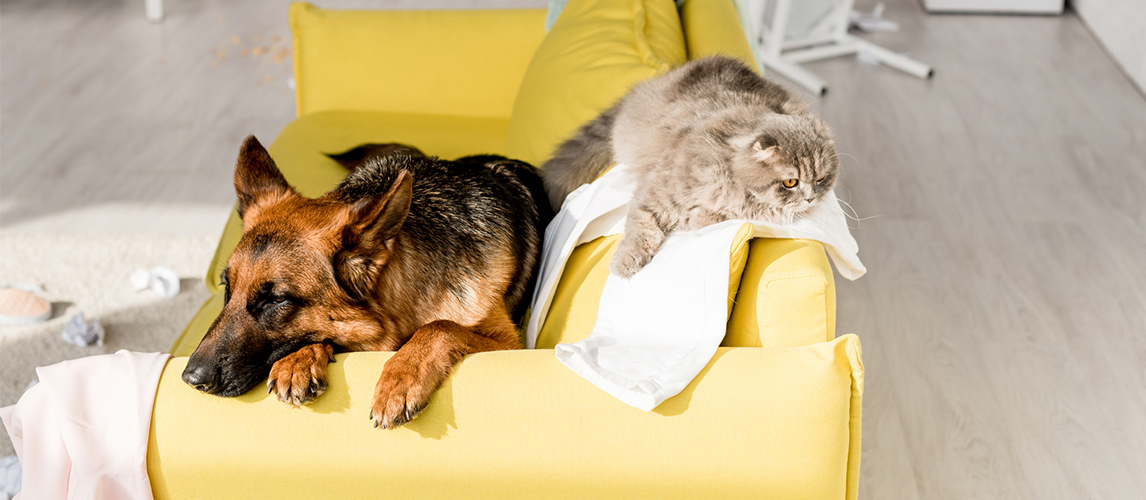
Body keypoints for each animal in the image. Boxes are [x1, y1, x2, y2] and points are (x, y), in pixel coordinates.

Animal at [181, 136, 547, 428]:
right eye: (227, 287)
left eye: (277, 299)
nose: (190, 378)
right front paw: (299, 360)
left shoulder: (510, 345)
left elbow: (441, 326)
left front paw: (401, 378)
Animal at [540, 57, 838, 280]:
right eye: (791, 182)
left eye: (821, 178)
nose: (811, 198)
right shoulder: (656, 192)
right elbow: (641, 229)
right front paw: (625, 263)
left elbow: (709, 218)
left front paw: (695, 217)